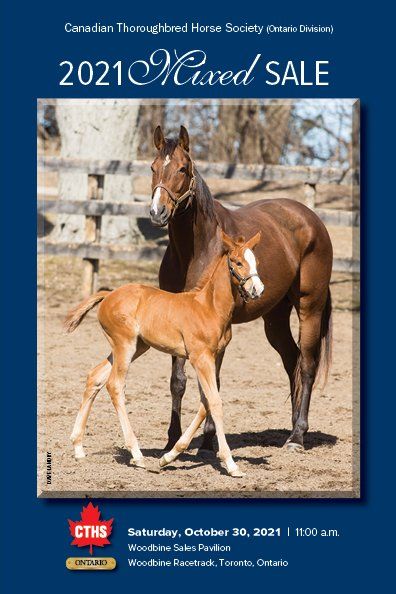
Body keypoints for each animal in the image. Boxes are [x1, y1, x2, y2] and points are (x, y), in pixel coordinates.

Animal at [65, 230, 262, 476]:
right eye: (237, 262)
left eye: (256, 262)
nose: (257, 290)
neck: (209, 308)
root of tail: (108, 295)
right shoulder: (200, 358)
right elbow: (215, 403)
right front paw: (231, 464)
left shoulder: (214, 358)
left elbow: (205, 402)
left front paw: (169, 456)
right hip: (125, 345)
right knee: (115, 385)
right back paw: (137, 454)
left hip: (136, 347)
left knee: (95, 377)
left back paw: (78, 447)